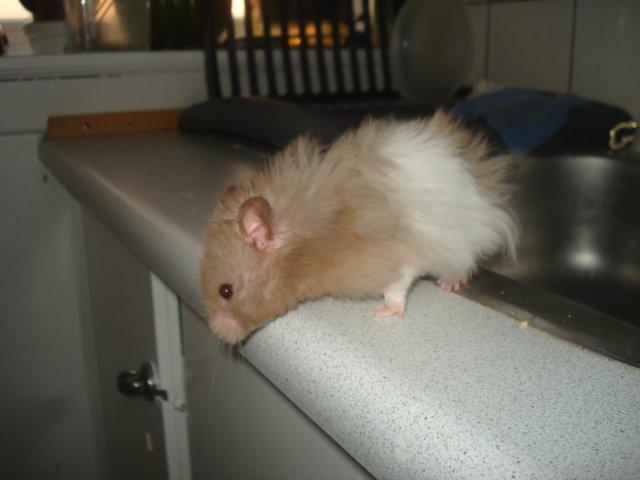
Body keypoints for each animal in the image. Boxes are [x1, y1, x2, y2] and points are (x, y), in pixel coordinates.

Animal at [201, 111, 518, 344]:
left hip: (463, 238)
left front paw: (383, 313)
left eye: (225, 291)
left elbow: (398, 287)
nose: (218, 335)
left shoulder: (397, 259)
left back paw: (449, 284)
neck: (314, 240)